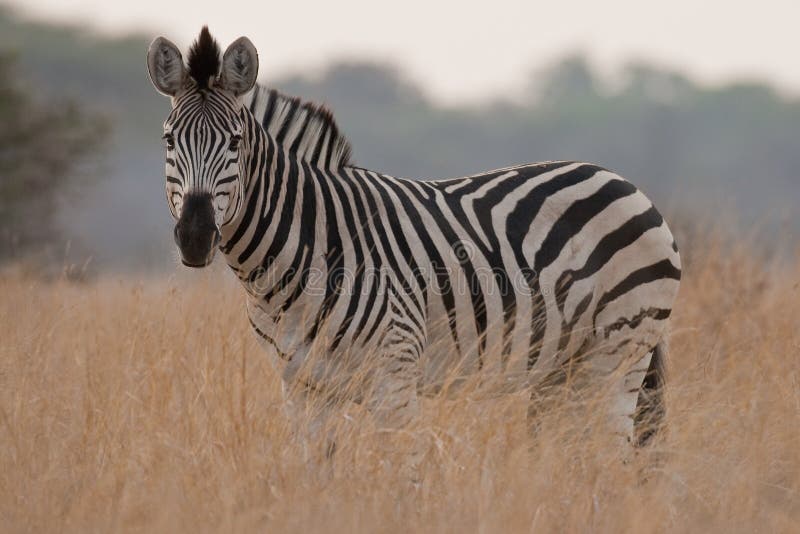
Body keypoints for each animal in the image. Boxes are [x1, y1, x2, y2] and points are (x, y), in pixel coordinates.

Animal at [146, 27, 681, 453]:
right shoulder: (301, 387)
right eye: (168, 140)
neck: (306, 251)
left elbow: (405, 480)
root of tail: (621, 181)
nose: (195, 237)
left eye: (235, 143)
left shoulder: (395, 379)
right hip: (561, 366)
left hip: (618, 353)